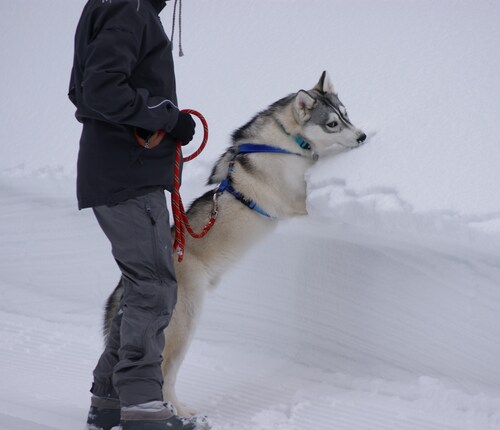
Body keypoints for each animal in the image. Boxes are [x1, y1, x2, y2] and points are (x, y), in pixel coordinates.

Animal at [103, 71, 366, 416]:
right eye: (331, 123)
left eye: (346, 114)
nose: (362, 137)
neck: (284, 142)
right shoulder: (297, 200)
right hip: (185, 322)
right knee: (164, 373)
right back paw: (179, 412)